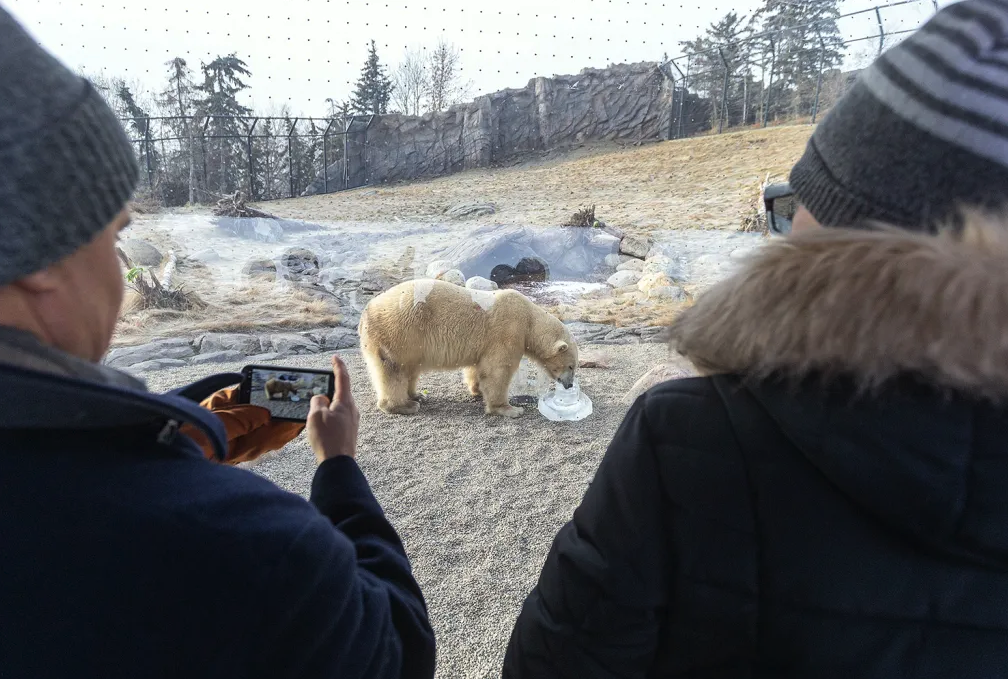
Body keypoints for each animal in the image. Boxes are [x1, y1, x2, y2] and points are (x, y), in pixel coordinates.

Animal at [358, 278, 580, 415]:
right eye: (571, 366)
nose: (569, 384)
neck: (529, 319)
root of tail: (365, 313)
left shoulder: (486, 342)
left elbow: (479, 367)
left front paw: (478, 390)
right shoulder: (507, 331)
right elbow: (498, 370)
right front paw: (509, 409)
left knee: (410, 369)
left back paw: (417, 395)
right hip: (398, 332)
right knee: (394, 371)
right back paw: (404, 406)